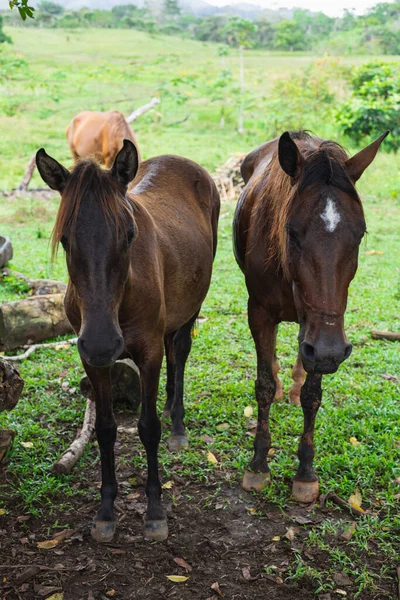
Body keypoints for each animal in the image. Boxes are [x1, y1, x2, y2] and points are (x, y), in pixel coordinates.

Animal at [36, 141, 220, 544]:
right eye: (65, 240)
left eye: (129, 235)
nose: (103, 341)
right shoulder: (92, 361)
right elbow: (105, 430)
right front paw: (106, 510)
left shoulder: (147, 353)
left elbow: (148, 428)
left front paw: (154, 511)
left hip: (192, 306)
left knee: (180, 352)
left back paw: (177, 424)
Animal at [234, 130, 388, 502]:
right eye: (291, 232)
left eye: (360, 234)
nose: (330, 350)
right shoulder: (259, 313)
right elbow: (263, 384)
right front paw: (258, 463)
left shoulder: (320, 332)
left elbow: (312, 394)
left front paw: (305, 470)